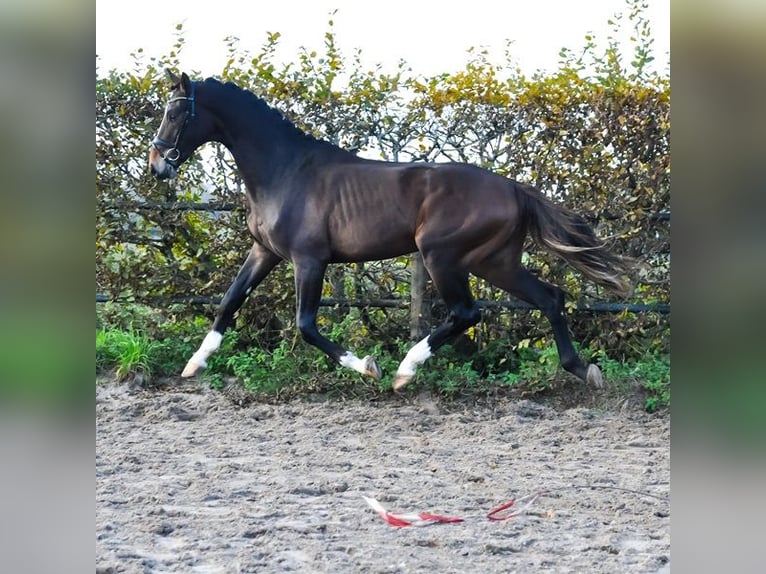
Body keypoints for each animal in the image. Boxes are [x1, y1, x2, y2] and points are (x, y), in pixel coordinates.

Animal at [148, 71, 632, 392]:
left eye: (175, 112)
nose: (157, 166)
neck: (283, 171)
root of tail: (514, 187)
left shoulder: (309, 260)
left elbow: (305, 325)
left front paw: (367, 366)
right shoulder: (264, 252)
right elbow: (228, 303)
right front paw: (194, 365)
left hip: (441, 256)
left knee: (467, 313)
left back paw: (404, 371)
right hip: (493, 261)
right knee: (550, 298)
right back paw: (584, 370)